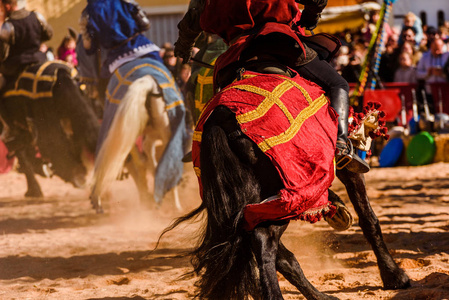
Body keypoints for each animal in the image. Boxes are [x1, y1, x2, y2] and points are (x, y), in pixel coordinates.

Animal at [159, 69, 412, 298]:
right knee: (265, 241)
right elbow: (369, 219)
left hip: (246, 203)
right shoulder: (345, 167)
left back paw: (319, 295)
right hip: (279, 201)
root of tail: (221, 121)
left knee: (266, 247)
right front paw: (393, 275)